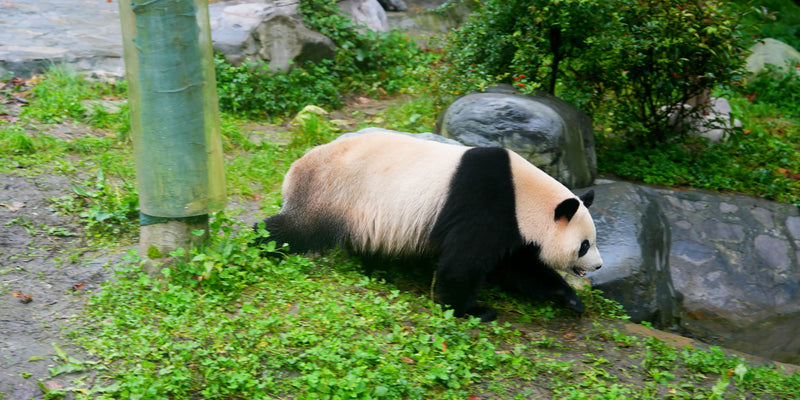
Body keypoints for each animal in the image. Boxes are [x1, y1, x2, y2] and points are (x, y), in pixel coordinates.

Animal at [254, 130, 603, 322]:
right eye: (585, 244)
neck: (524, 195)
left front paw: (569, 299)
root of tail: (295, 168)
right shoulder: (486, 204)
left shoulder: (512, 226)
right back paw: (258, 245)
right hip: (333, 193)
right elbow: (464, 263)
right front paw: (470, 311)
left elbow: (518, 267)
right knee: (296, 229)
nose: (598, 266)